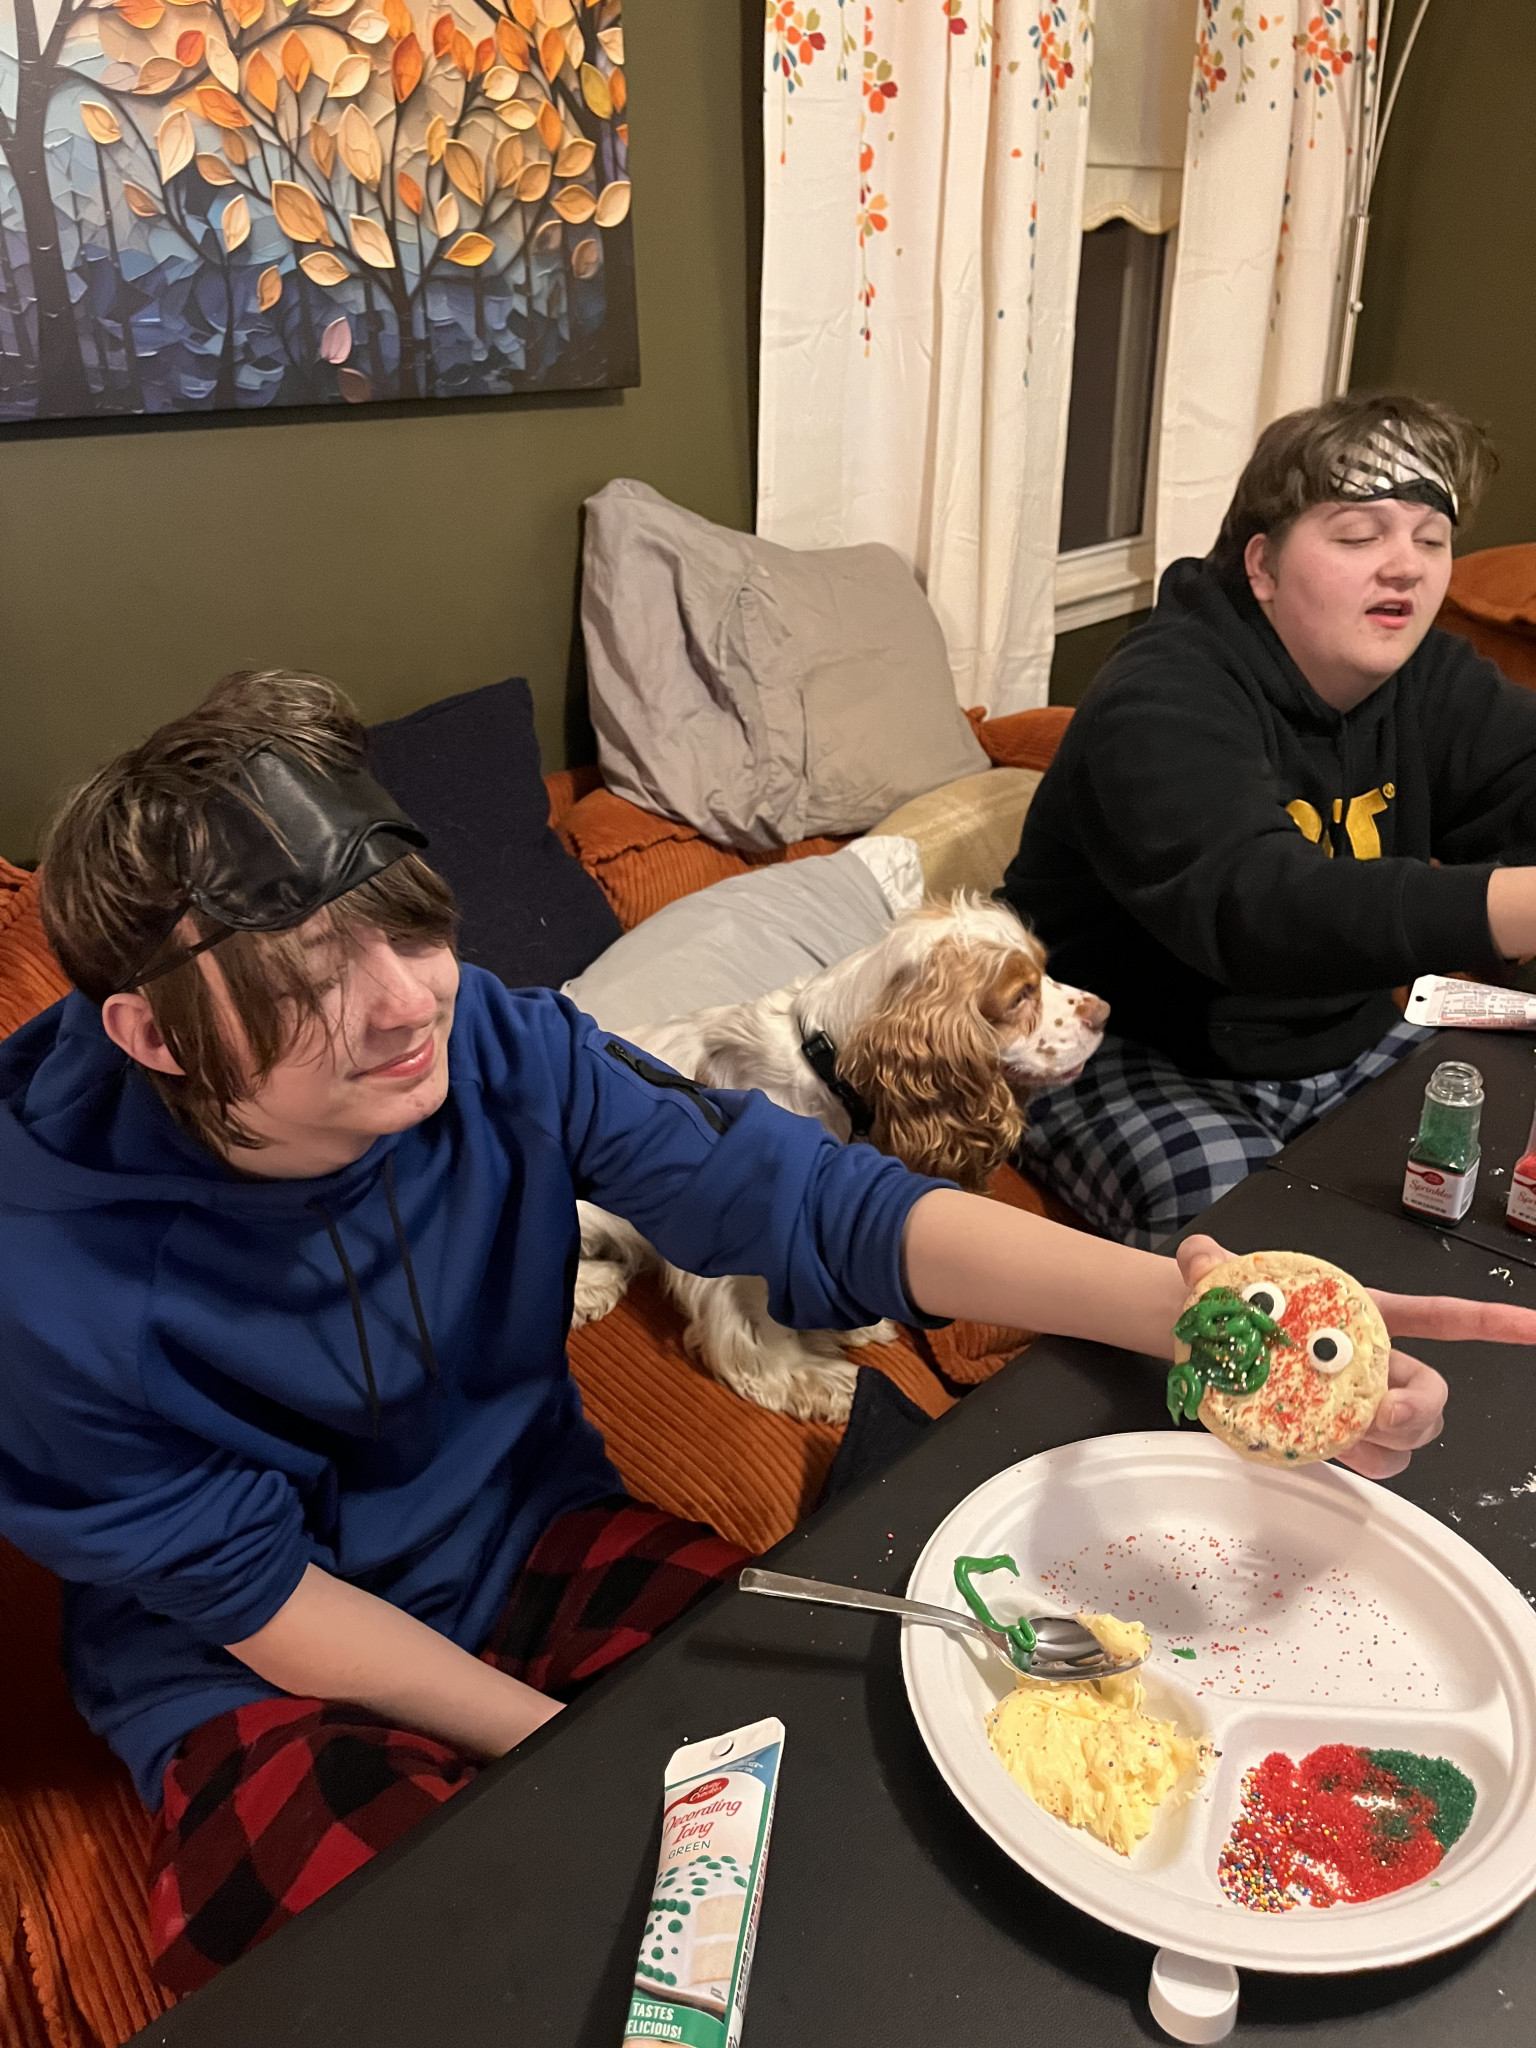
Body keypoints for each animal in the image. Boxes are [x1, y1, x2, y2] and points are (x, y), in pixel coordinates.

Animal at [573, 895, 1108, 1423]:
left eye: (1044, 970)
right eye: (1020, 996)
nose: (1104, 1011)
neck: (828, 1073)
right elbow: (759, 1324)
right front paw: (809, 1378)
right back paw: (592, 1286)